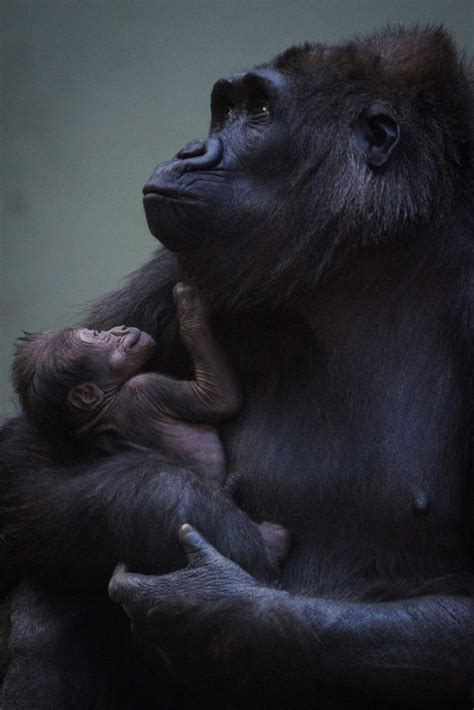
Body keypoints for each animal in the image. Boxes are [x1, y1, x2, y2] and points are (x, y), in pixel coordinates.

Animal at [12, 286, 288, 572]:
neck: (106, 402)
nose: (119, 329)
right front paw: (191, 314)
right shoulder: (147, 389)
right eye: (98, 337)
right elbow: (218, 398)